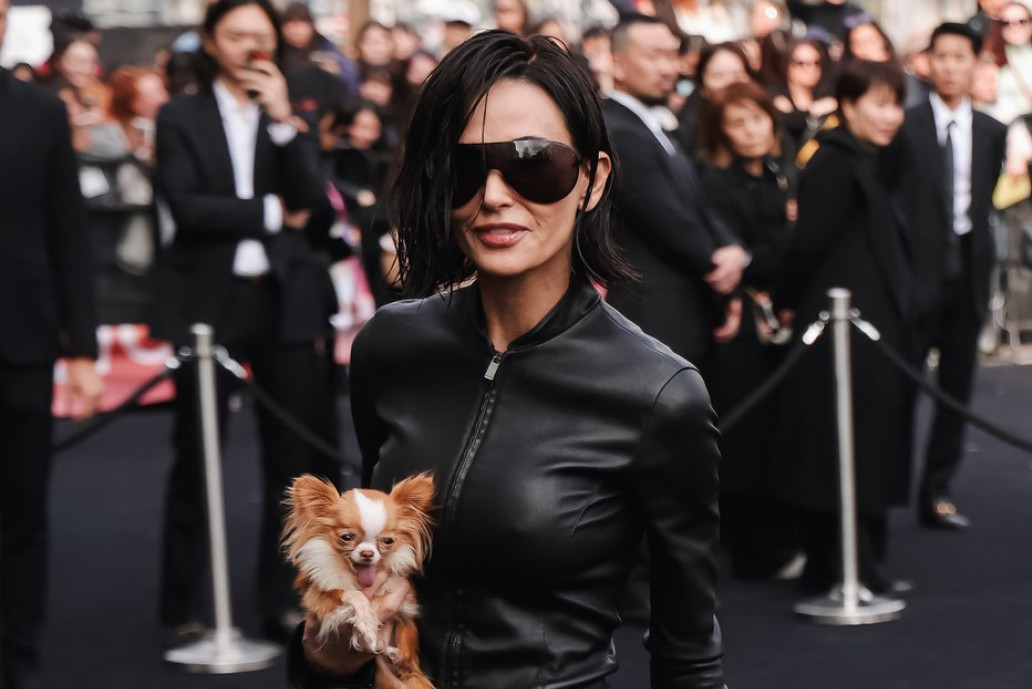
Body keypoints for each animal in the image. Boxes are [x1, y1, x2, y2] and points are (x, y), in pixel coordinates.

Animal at [283, 473, 435, 689]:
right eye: (346, 537)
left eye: (388, 541)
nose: (367, 554)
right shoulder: (316, 598)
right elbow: (352, 594)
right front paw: (366, 621)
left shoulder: (402, 601)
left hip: (408, 640)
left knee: (407, 660)